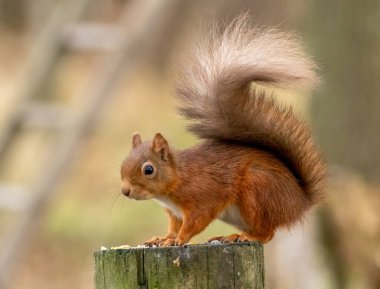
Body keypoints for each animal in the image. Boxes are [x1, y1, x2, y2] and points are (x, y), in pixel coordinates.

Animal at [120, 16, 326, 245]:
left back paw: (244, 237)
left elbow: (195, 222)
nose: (125, 191)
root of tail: (299, 203)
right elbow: (174, 226)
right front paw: (163, 238)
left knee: (267, 234)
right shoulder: (174, 212)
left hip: (257, 191)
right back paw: (232, 235)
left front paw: (178, 240)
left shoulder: (203, 196)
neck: (178, 178)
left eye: (149, 169)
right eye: (123, 163)